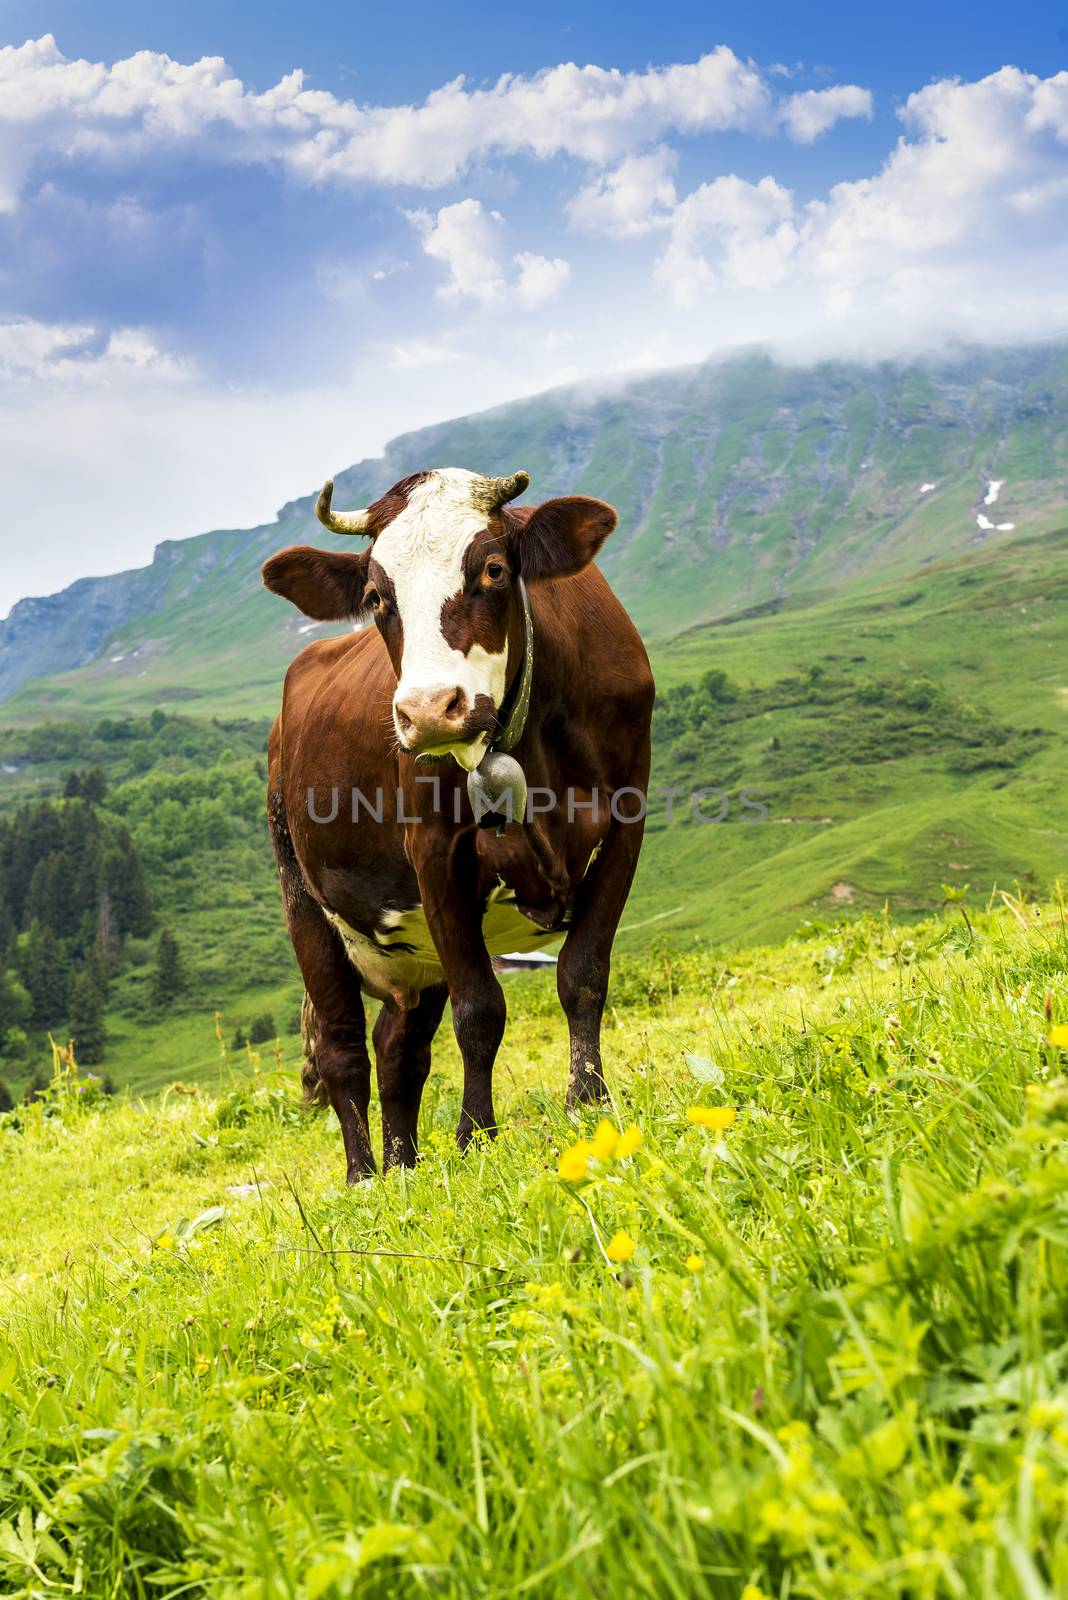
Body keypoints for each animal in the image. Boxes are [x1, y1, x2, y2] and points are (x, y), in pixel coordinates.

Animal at [262, 467, 655, 1184]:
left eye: (493, 569)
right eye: (375, 595)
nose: (427, 711)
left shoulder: (626, 821)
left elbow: (583, 973)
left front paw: (589, 1102)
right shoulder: (436, 854)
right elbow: (481, 1010)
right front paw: (477, 1135)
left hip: (412, 951)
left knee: (398, 1047)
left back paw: (404, 1165)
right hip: (303, 897)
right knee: (342, 1048)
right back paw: (365, 1176)